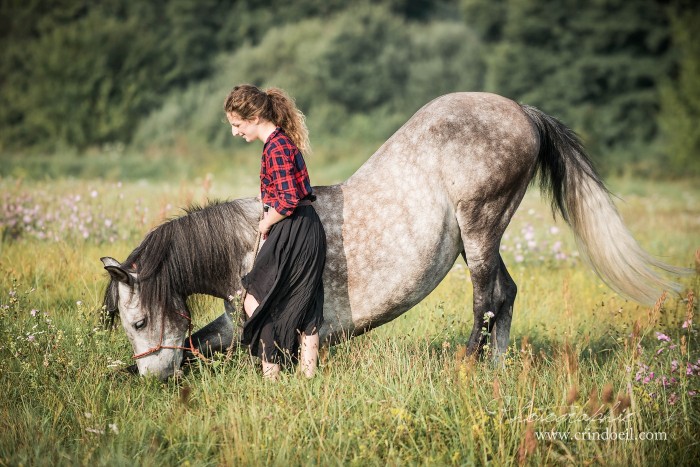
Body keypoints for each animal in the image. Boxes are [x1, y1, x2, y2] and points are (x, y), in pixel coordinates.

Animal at [101, 92, 688, 380]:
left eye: (138, 320)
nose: (155, 377)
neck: (247, 244)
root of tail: (521, 110)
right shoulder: (229, 319)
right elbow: (198, 342)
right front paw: (123, 375)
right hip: (485, 236)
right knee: (507, 295)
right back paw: (497, 371)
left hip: (480, 227)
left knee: (487, 299)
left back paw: (468, 368)